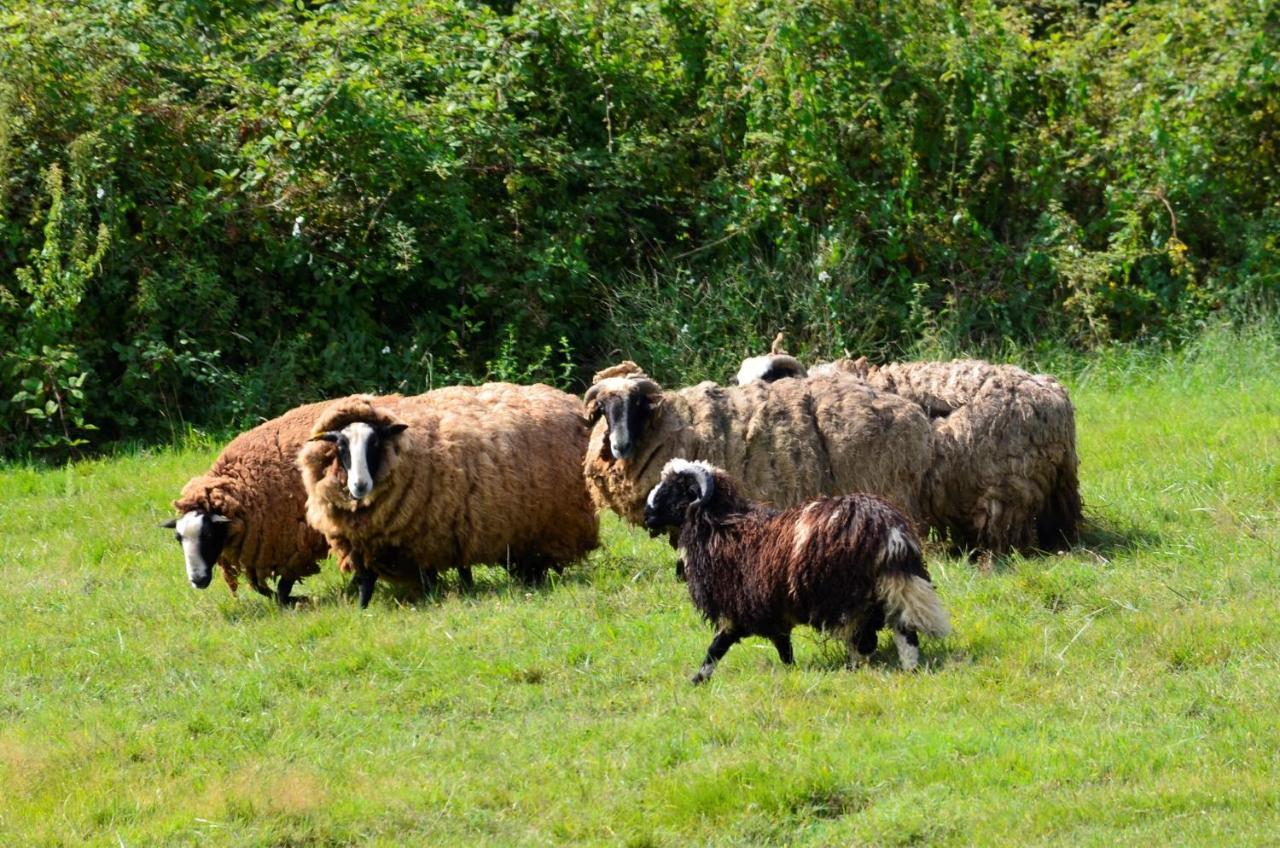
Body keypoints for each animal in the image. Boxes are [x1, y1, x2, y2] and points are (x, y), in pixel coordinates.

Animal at [162, 402, 335, 607]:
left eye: (209, 534)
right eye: (178, 538)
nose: (198, 580)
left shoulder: (297, 545)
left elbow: (283, 586)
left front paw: (299, 600)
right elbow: (261, 588)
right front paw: (293, 600)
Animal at [296, 384, 601, 612]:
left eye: (375, 443)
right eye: (341, 446)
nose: (359, 486)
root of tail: (565, 398)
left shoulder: (434, 537)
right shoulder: (367, 544)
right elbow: (366, 583)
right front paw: (362, 610)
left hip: (549, 525)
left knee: (535, 562)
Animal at [640, 458, 952, 686]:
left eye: (670, 490)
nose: (646, 516)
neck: (720, 526)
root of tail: (890, 530)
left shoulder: (740, 608)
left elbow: (717, 647)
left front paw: (697, 680)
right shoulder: (772, 611)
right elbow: (784, 649)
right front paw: (791, 672)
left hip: (845, 595)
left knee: (862, 639)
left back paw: (854, 670)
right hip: (893, 586)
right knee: (903, 629)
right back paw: (910, 669)